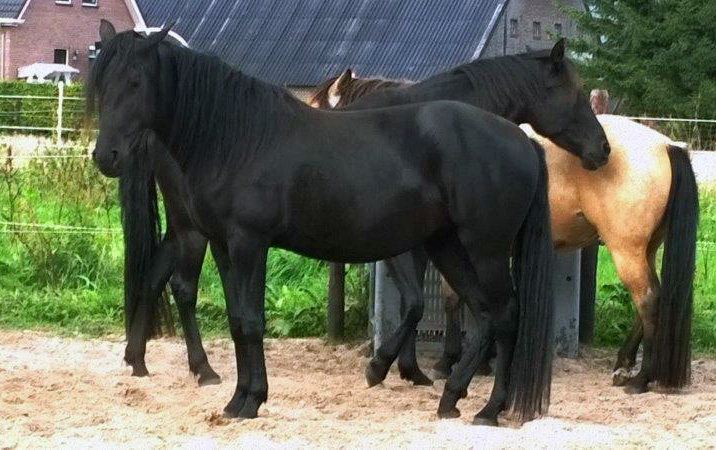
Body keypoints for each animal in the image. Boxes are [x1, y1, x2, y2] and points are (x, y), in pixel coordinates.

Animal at [88, 21, 572, 426]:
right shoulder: (225, 246)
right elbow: (237, 321)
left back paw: (489, 410)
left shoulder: (249, 244)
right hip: (448, 246)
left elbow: (252, 322)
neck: (238, 137)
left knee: (505, 315)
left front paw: (252, 400)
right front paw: (238, 398)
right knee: (487, 314)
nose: (106, 156)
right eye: (101, 84)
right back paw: (452, 398)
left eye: (135, 82)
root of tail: (524, 142)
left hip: (485, 249)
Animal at [314, 72, 698, 393]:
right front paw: (475, 361)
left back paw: (641, 378)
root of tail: (667, 145)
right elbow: (458, 300)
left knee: (649, 300)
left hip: (625, 250)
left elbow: (438, 301)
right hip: (644, 249)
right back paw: (623, 365)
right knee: (650, 301)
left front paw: (436, 363)